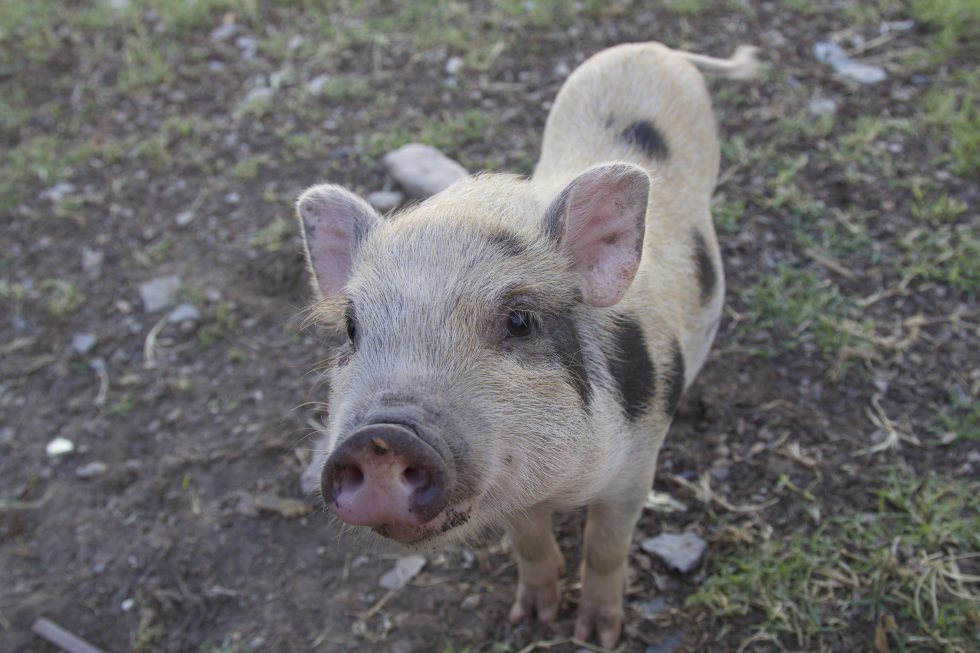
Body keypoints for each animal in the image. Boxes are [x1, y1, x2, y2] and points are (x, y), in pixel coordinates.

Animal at [295, 42, 758, 647]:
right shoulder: (510, 493)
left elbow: (606, 548)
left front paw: (597, 634)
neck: (560, 487)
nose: (380, 437)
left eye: (519, 321)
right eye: (351, 327)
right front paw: (531, 617)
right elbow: (530, 544)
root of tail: (653, 48)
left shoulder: (636, 469)